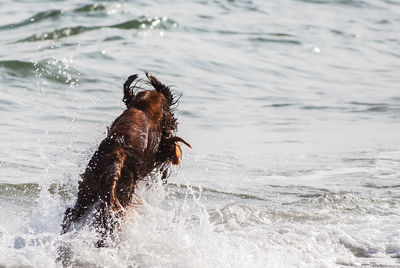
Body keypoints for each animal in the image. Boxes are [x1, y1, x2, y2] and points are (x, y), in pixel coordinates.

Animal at [59, 72, 191, 244]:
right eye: (171, 120)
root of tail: (117, 154)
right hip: (120, 197)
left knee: (71, 214)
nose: (173, 125)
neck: (144, 107)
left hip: (88, 190)